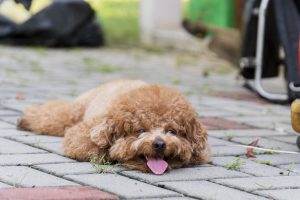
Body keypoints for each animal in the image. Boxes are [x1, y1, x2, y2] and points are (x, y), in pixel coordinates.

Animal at [17, 79, 210, 173]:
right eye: (140, 130)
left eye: (172, 131)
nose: (159, 144)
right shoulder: (83, 133)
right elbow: (93, 147)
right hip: (76, 110)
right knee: (53, 114)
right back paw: (26, 119)